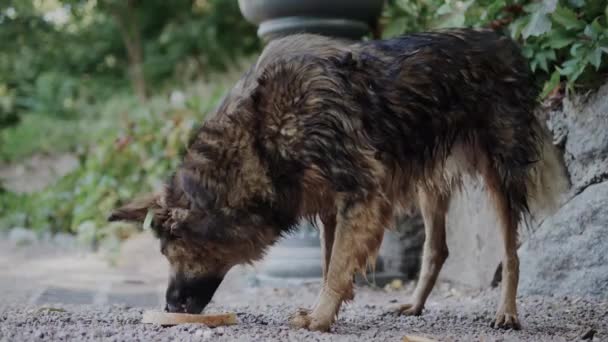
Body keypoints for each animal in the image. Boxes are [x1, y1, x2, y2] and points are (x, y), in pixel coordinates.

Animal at [108, 28, 564, 332]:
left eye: (170, 253)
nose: (169, 306)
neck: (258, 134)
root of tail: (504, 41)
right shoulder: (330, 205)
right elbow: (330, 262)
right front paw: (323, 309)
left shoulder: (361, 194)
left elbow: (338, 265)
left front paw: (322, 317)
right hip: (427, 184)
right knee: (437, 249)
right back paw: (415, 305)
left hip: (500, 176)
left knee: (511, 251)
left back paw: (507, 312)